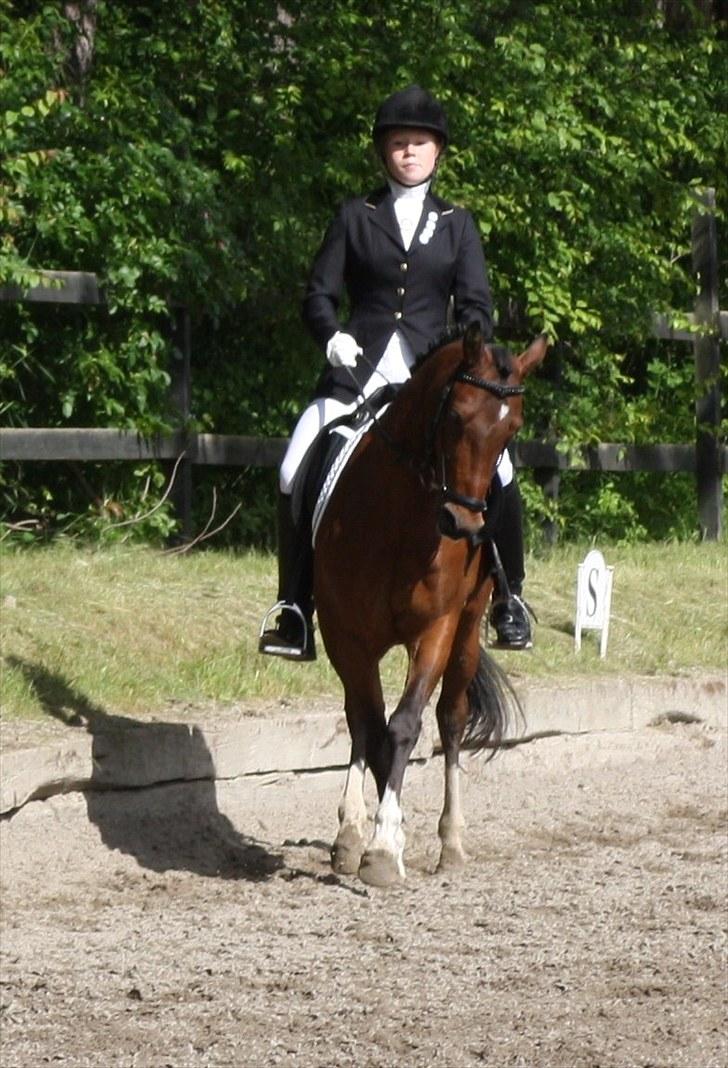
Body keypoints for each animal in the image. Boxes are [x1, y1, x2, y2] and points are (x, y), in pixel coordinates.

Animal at [313, 322, 548, 887]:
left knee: (450, 718)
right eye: (456, 416)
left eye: (512, 430)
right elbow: (367, 724)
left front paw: (384, 847)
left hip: (467, 627)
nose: (464, 526)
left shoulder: (437, 627)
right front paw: (362, 834)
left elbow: (404, 725)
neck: (401, 518)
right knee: (366, 720)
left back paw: (452, 841)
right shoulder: (345, 634)